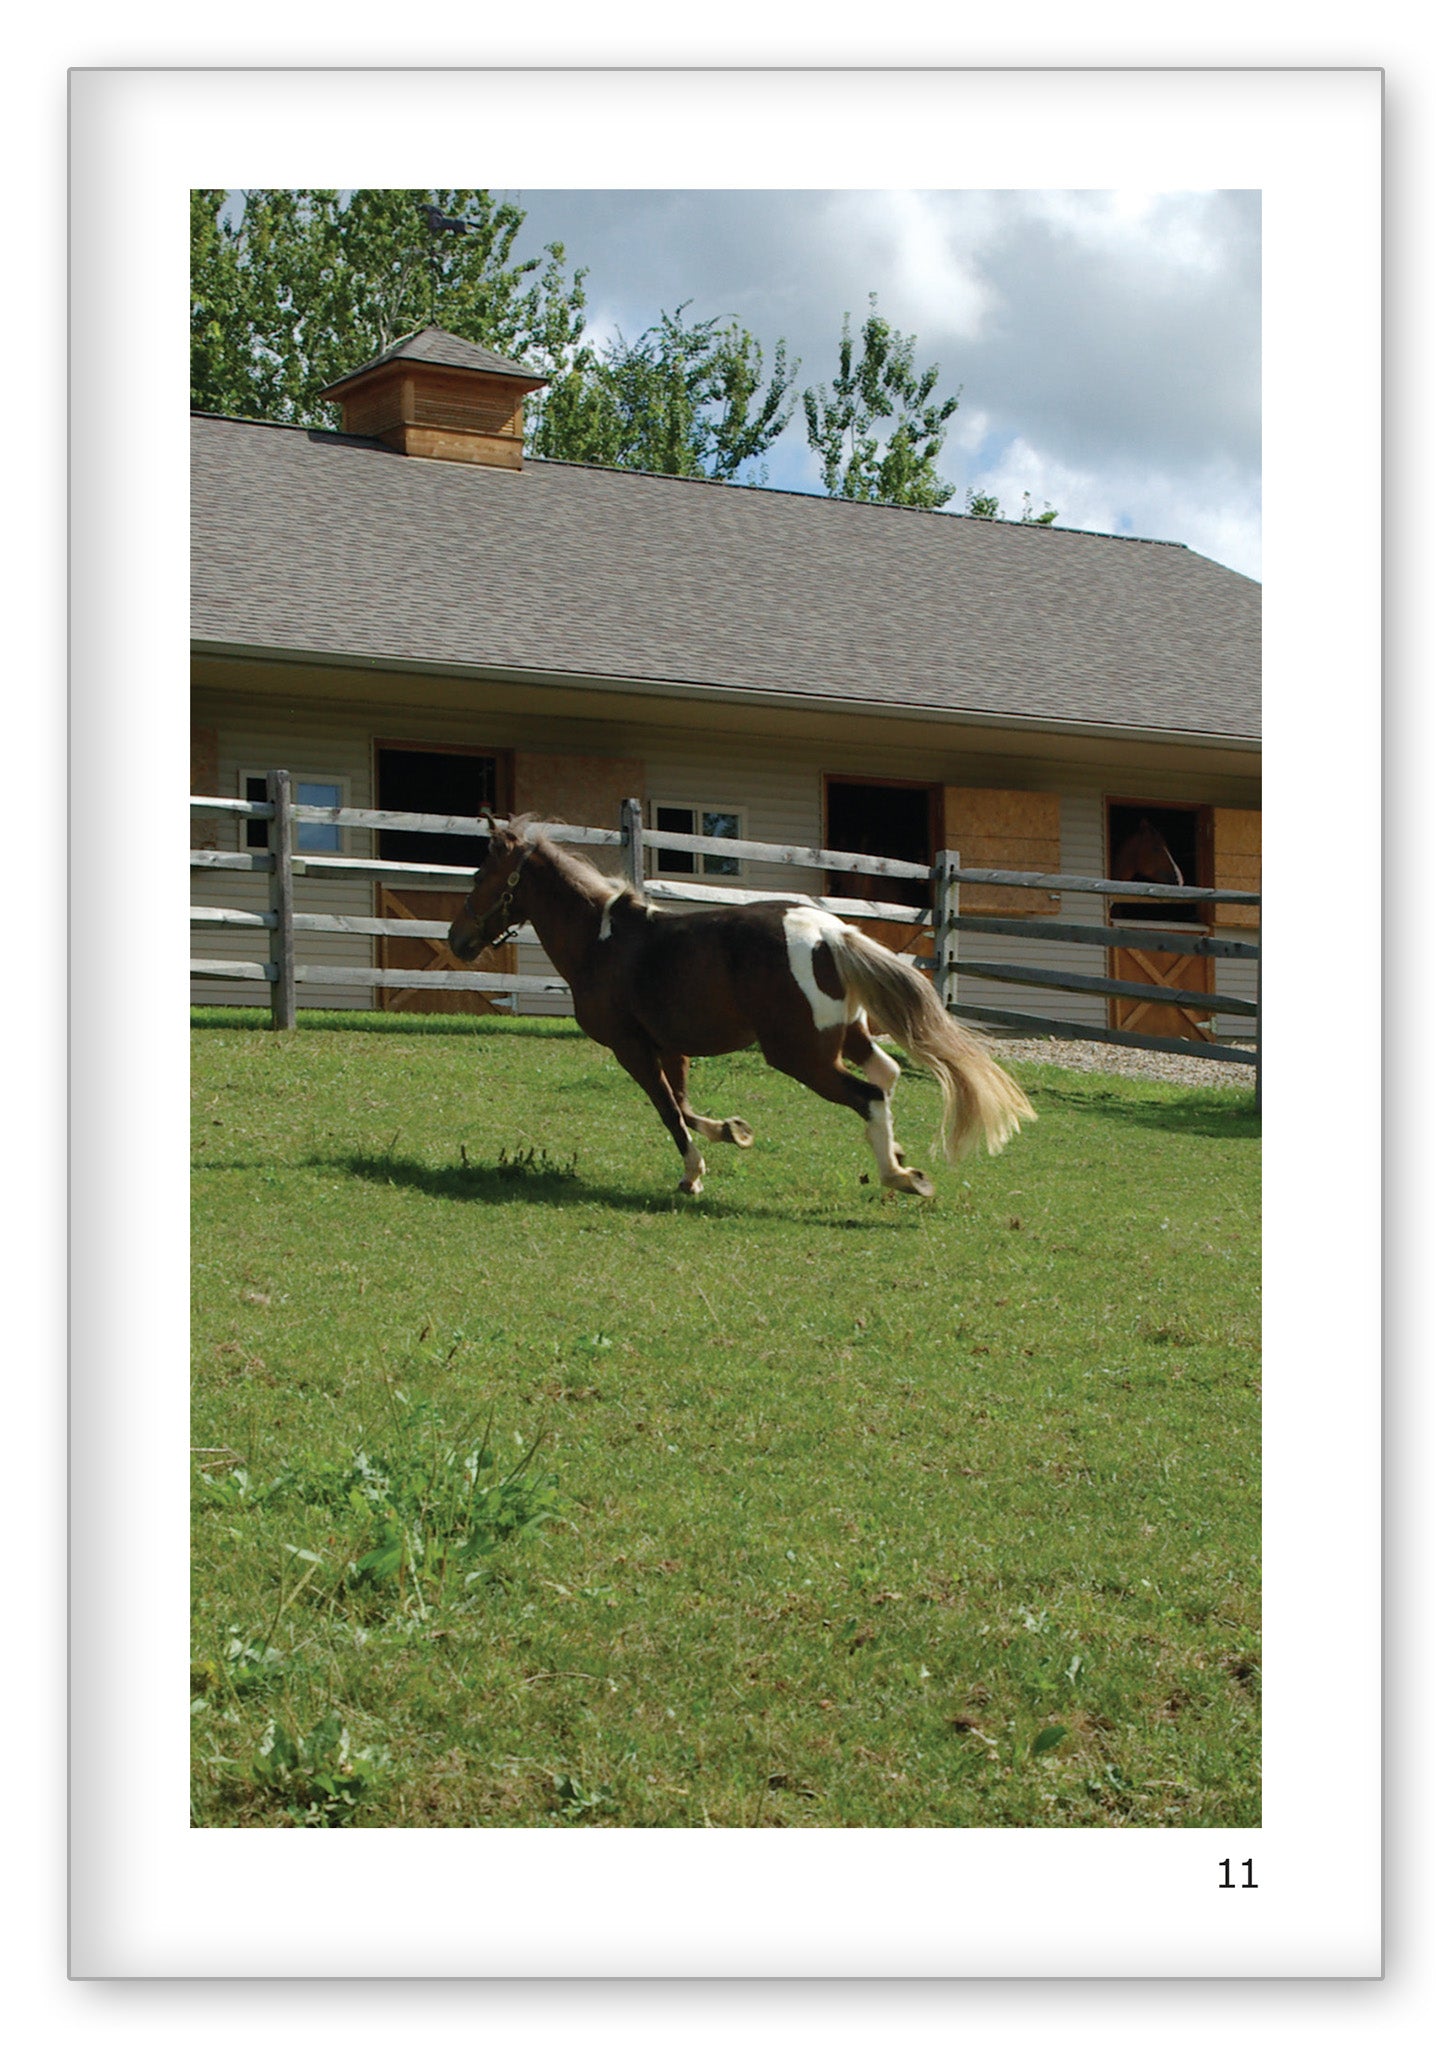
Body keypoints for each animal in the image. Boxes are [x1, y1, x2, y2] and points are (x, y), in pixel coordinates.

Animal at [447, 819, 1035, 1198]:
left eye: (480, 877)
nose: (456, 939)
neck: (601, 942)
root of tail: (830, 932)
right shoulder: (672, 1048)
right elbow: (684, 1106)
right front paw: (734, 1131)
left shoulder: (631, 1048)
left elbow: (668, 1110)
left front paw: (693, 1174)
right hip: (847, 1036)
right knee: (886, 1075)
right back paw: (898, 1158)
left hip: (801, 1056)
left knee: (868, 1095)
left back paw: (903, 1178)